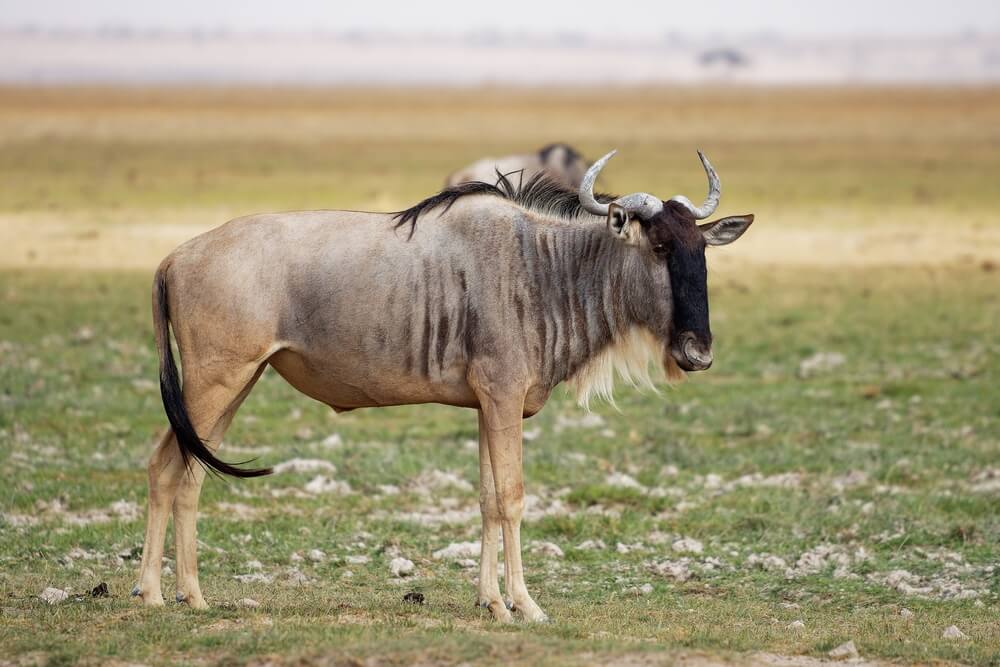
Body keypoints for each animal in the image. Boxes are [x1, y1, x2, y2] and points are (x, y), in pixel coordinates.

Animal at [134, 150, 753, 622]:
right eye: (659, 248)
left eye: (701, 251)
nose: (697, 353)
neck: (545, 269)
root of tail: (173, 257)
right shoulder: (503, 397)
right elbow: (512, 498)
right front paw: (526, 605)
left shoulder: (486, 405)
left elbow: (486, 499)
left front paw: (491, 603)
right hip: (215, 382)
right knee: (165, 466)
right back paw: (154, 594)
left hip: (236, 384)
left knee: (192, 472)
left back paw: (192, 595)